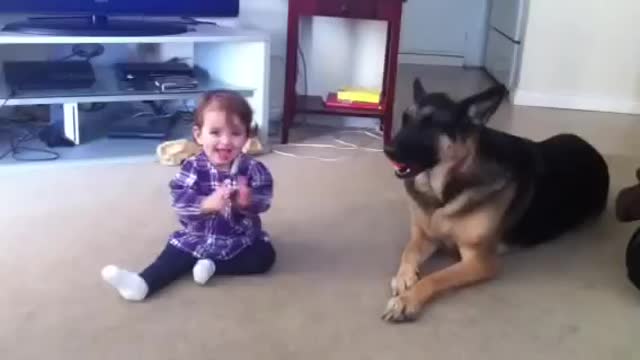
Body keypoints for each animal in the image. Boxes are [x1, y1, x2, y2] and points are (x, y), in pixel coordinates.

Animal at [380, 78, 608, 320]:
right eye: (405, 119)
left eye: (431, 125)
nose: (387, 150)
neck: (447, 186)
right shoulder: (427, 236)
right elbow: (409, 250)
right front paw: (404, 277)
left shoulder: (480, 262)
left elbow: (437, 277)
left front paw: (408, 300)